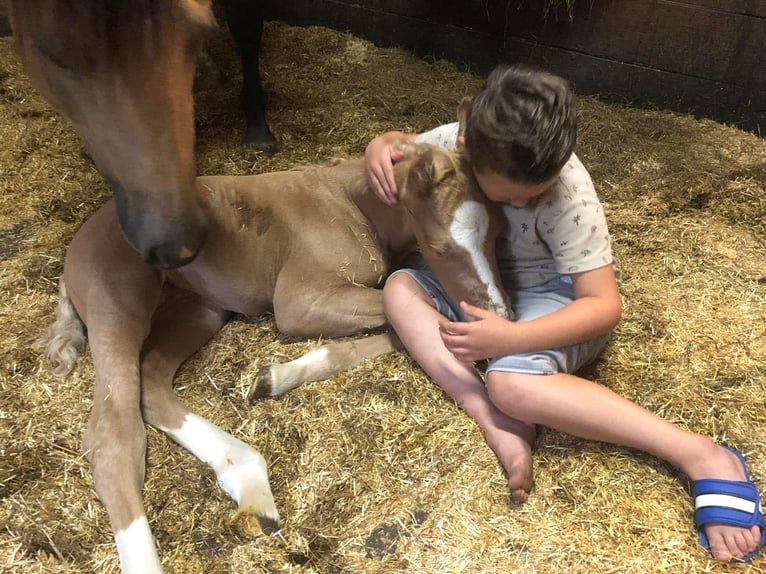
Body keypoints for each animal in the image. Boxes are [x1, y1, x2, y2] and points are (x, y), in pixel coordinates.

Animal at [43, 140, 511, 573]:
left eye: (495, 236)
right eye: (440, 245)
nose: (497, 315)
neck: (350, 203)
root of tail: (76, 245)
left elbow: (410, 324)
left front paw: (275, 377)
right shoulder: (299, 302)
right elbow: (419, 314)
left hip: (199, 309)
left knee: (152, 380)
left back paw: (246, 476)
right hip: (117, 304)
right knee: (112, 432)